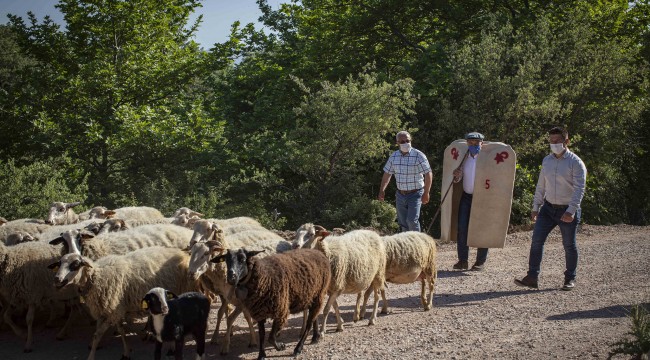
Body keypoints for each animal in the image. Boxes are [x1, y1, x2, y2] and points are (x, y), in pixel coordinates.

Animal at [49, 246, 197, 360]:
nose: (57, 279)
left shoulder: (113, 311)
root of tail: (181, 253)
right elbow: (117, 330)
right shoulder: (109, 309)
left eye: (75, 264)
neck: (96, 277)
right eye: (59, 264)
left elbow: (98, 334)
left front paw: (91, 356)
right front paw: (126, 351)